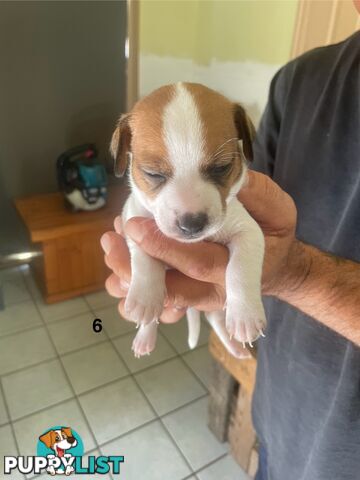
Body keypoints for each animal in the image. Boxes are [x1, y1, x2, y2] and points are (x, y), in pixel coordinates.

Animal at [111, 82, 266, 358]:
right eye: (153, 174)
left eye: (222, 167)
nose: (192, 224)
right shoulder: (132, 219)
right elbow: (144, 255)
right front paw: (145, 297)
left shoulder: (247, 230)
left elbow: (240, 268)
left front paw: (245, 315)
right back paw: (145, 337)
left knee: (215, 319)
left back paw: (236, 348)